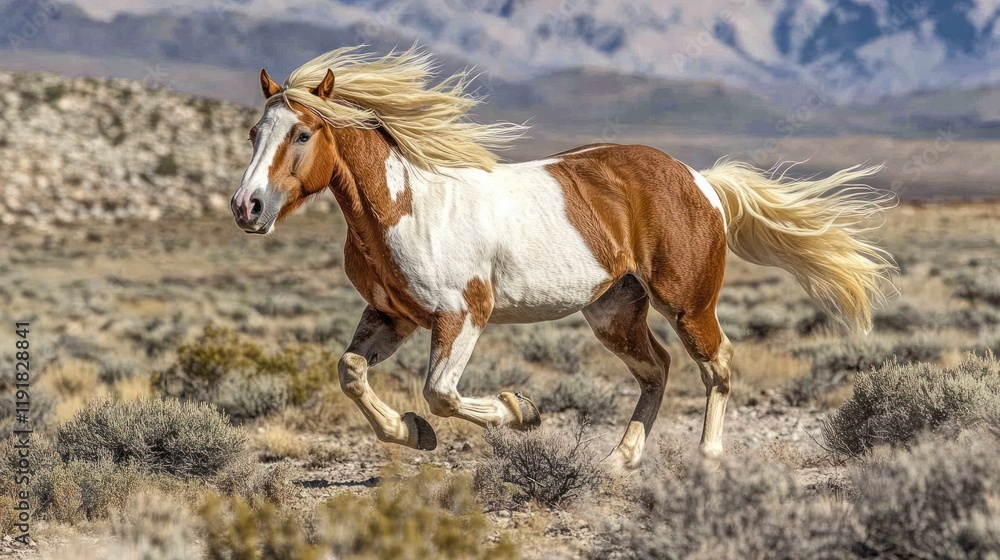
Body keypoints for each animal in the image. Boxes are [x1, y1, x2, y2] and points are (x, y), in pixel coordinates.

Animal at [230, 47, 896, 470]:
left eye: (303, 134)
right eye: (254, 133)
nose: (246, 206)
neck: (407, 205)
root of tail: (701, 181)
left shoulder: (462, 315)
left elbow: (442, 392)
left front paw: (520, 411)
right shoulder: (392, 316)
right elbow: (351, 371)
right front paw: (412, 433)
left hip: (686, 303)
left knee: (718, 365)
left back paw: (706, 459)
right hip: (613, 312)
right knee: (657, 369)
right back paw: (619, 460)